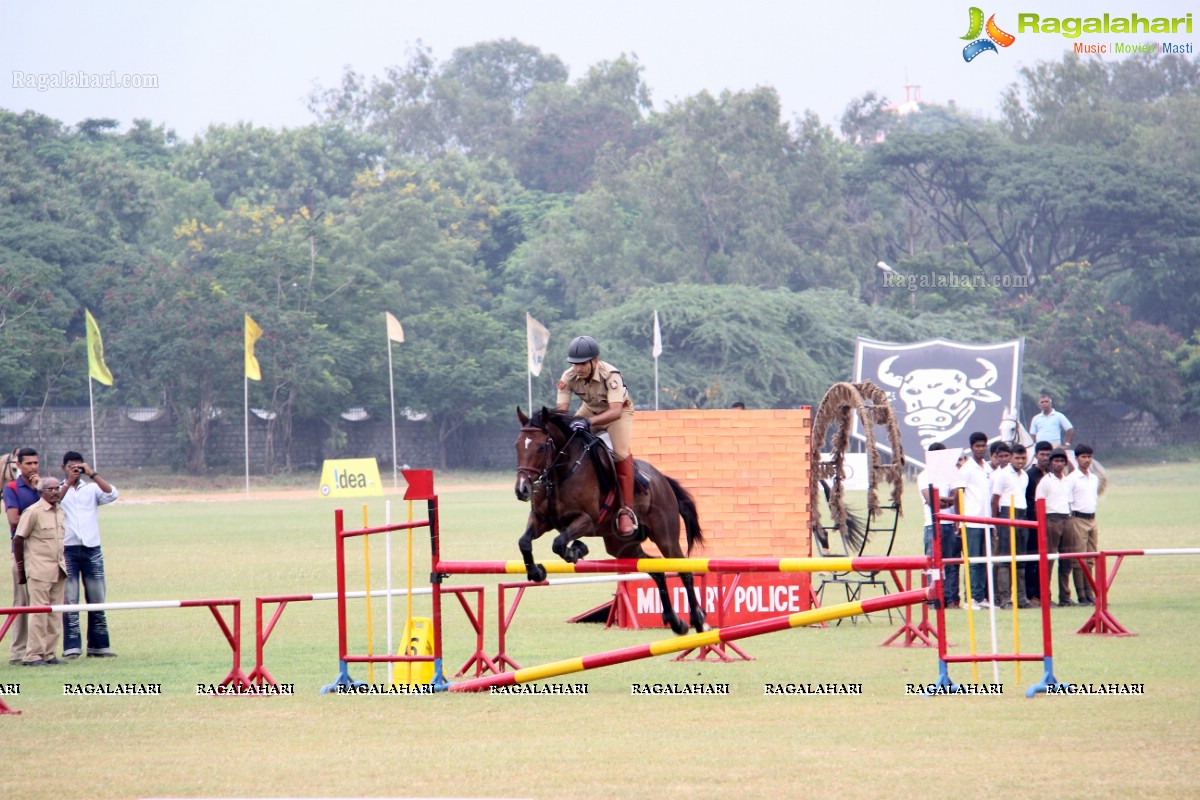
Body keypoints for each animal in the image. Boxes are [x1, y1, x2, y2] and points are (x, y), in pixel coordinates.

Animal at [511, 410, 705, 633]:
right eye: (517, 445)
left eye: (542, 446)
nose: (522, 490)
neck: (561, 474)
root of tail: (662, 480)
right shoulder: (541, 519)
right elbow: (524, 542)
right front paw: (536, 572)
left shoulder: (587, 520)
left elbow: (558, 543)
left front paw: (576, 550)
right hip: (622, 545)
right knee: (655, 570)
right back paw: (675, 622)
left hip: (666, 538)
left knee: (684, 570)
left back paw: (698, 619)